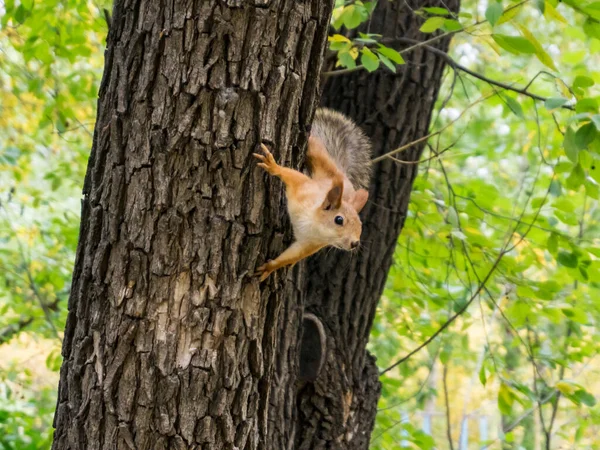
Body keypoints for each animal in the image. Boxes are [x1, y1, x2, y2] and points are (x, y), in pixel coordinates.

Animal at [252, 107, 370, 280]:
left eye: (360, 225)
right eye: (339, 220)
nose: (355, 243)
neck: (314, 225)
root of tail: (343, 175)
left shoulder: (310, 244)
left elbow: (291, 256)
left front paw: (270, 267)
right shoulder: (303, 188)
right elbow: (290, 175)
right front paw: (273, 166)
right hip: (321, 158)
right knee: (315, 148)